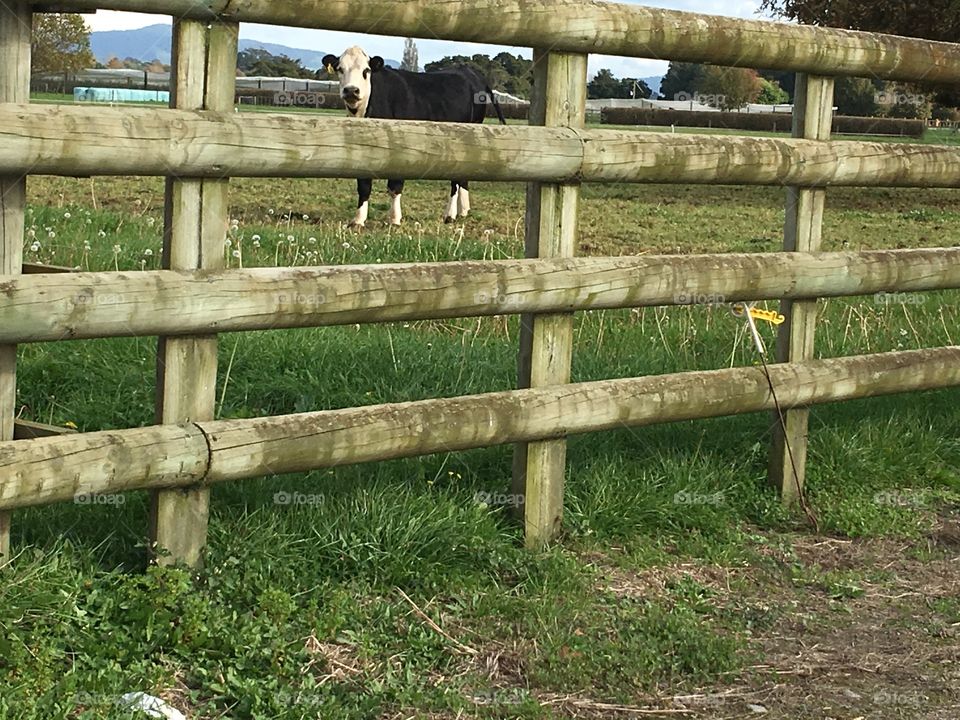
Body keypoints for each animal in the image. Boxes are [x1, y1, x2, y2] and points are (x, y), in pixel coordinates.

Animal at [321, 46, 506, 228]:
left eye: (366, 70)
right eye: (340, 69)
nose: (351, 90)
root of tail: (469, 71)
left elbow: (395, 187)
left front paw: (394, 219)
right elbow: (364, 185)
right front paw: (358, 220)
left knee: (455, 180)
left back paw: (450, 215)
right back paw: (463, 210)